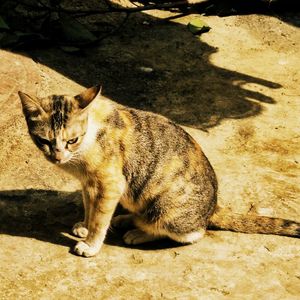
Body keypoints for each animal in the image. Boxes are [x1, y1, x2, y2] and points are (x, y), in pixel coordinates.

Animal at [18, 85, 300, 256]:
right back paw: (126, 220)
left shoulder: (110, 184)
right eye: (43, 140)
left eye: (72, 140)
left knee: (192, 232)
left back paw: (137, 232)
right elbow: (90, 208)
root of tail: (213, 206)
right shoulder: (89, 184)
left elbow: (99, 217)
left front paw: (90, 244)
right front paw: (85, 227)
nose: (57, 156)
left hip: (167, 210)